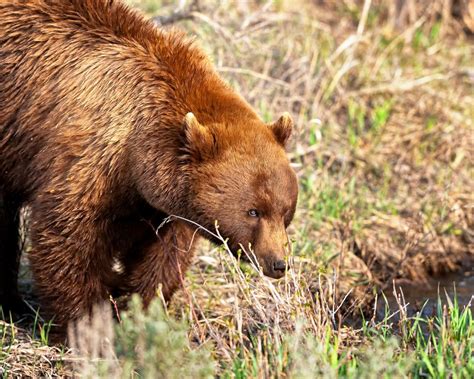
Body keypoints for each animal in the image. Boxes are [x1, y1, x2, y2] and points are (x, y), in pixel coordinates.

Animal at [0, 0, 296, 332]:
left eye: (286, 212)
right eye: (253, 211)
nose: (278, 263)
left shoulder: (166, 204)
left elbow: (163, 258)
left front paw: (135, 309)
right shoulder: (92, 156)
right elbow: (69, 237)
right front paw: (87, 322)